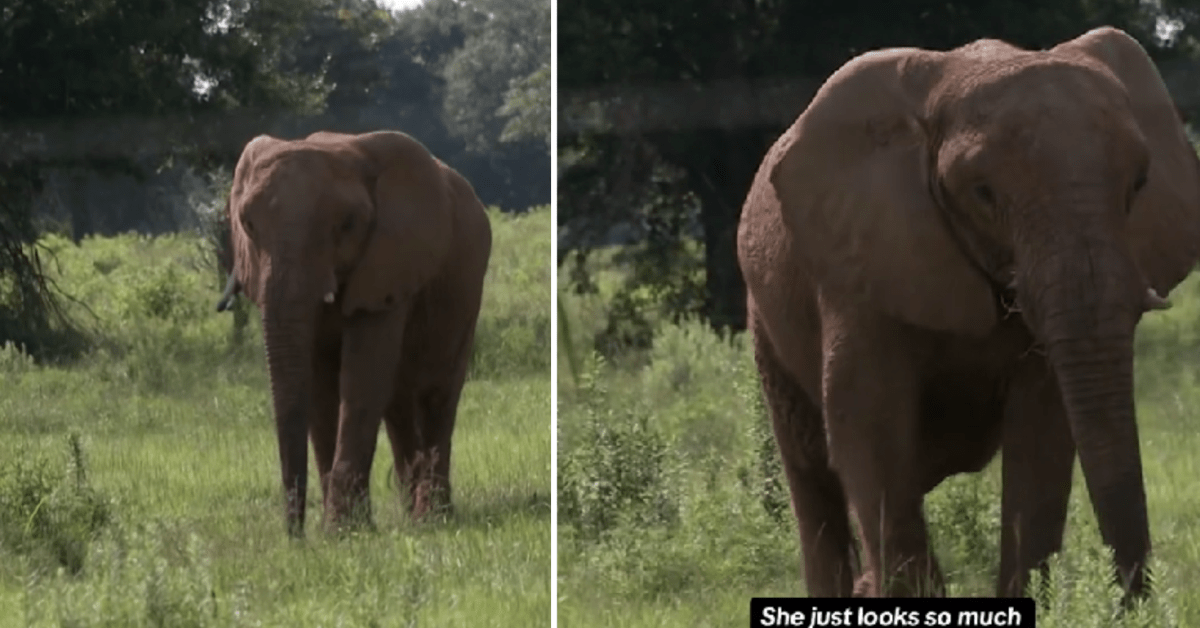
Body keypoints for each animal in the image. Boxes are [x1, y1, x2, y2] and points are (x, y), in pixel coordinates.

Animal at [222, 129, 492, 536]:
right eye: (248, 225)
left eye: (347, 225)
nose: (296, 538)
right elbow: (320, 386)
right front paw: (346, 530)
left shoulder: (390, 262)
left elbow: (363, 376)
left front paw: (342, 533)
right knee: (399, 401)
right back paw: (411, 513)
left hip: (466, 290)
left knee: (436, 393)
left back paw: (432, 518)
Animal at [736, 27, 1200, 601]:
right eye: (983, 194)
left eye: (1139, 184)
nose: (1130, 604)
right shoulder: (859, 264)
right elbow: (868, 422)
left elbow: (1041, 434)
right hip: (765, 319)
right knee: (811, 473)